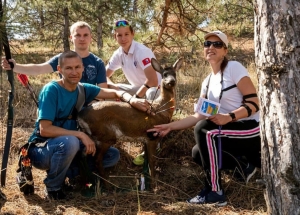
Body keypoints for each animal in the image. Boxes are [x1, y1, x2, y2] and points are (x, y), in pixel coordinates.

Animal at [77, 57, 183, 190]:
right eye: (164, 74)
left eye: (175, 73)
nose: (172, 81)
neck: (160, 109)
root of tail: (79, 116)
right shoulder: (152, 136)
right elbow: (152, 162)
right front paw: (154, 186)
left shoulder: (145, 138)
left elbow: (146, 162)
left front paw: (146, 184)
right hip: (106, 136)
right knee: (96, 160)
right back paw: (107, 186)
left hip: (92, 137)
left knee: (82, 155)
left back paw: (87, 183)